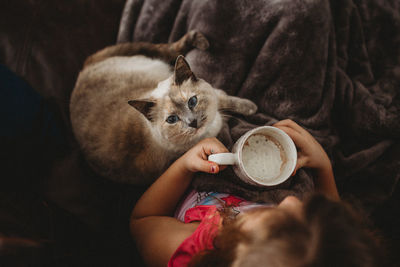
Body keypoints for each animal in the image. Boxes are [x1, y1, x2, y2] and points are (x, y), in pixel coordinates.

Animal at [70, 31, 258, 185]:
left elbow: (229, 101)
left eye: (192, 102)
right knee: (169, 50)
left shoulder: (216, 98)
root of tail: (83, 70)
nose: (193, 122)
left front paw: (251, 108)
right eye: (172, 119)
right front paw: (253, 112)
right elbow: (226, 115)